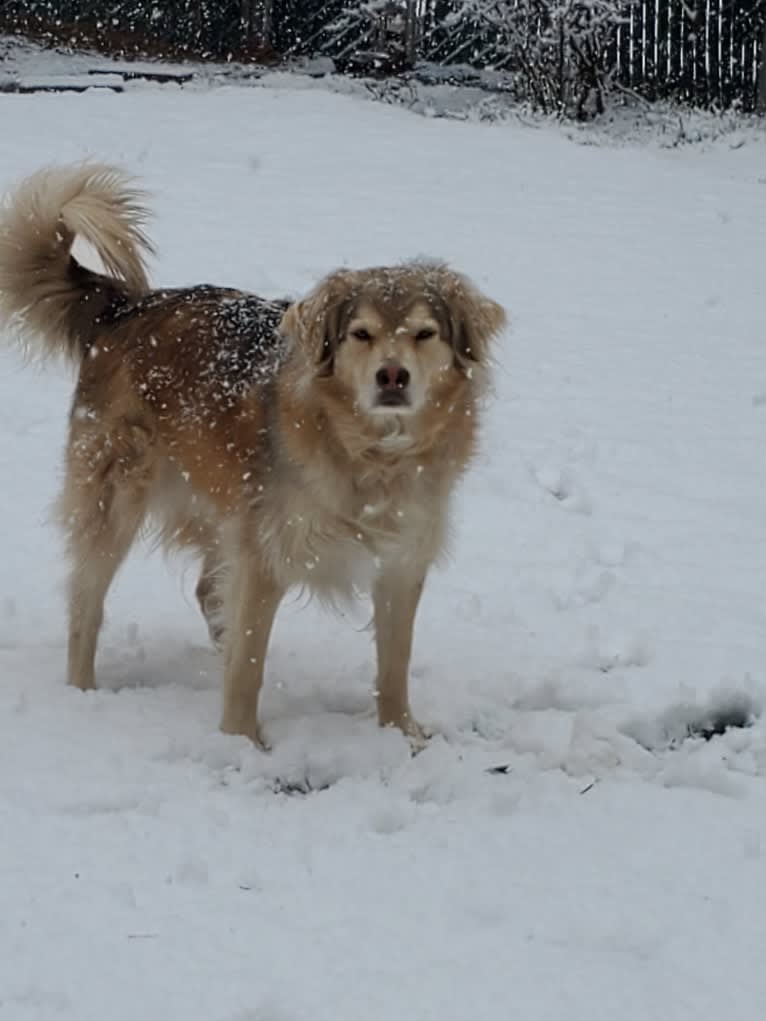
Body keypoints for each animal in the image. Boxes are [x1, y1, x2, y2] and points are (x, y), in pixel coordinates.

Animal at [0, 161, 506, 751]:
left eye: (425, 334)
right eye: (361, 334)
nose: (392, 376)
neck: (370, 451)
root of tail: (126, 308)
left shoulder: (402, 559)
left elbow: (394, 662)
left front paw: (402, 733)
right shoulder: (265, 552)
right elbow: (248, 664)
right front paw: (241, 742)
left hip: (222, 501)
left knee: (205, 589)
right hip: (117, 494)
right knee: (86, 603)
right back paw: (82, 693)